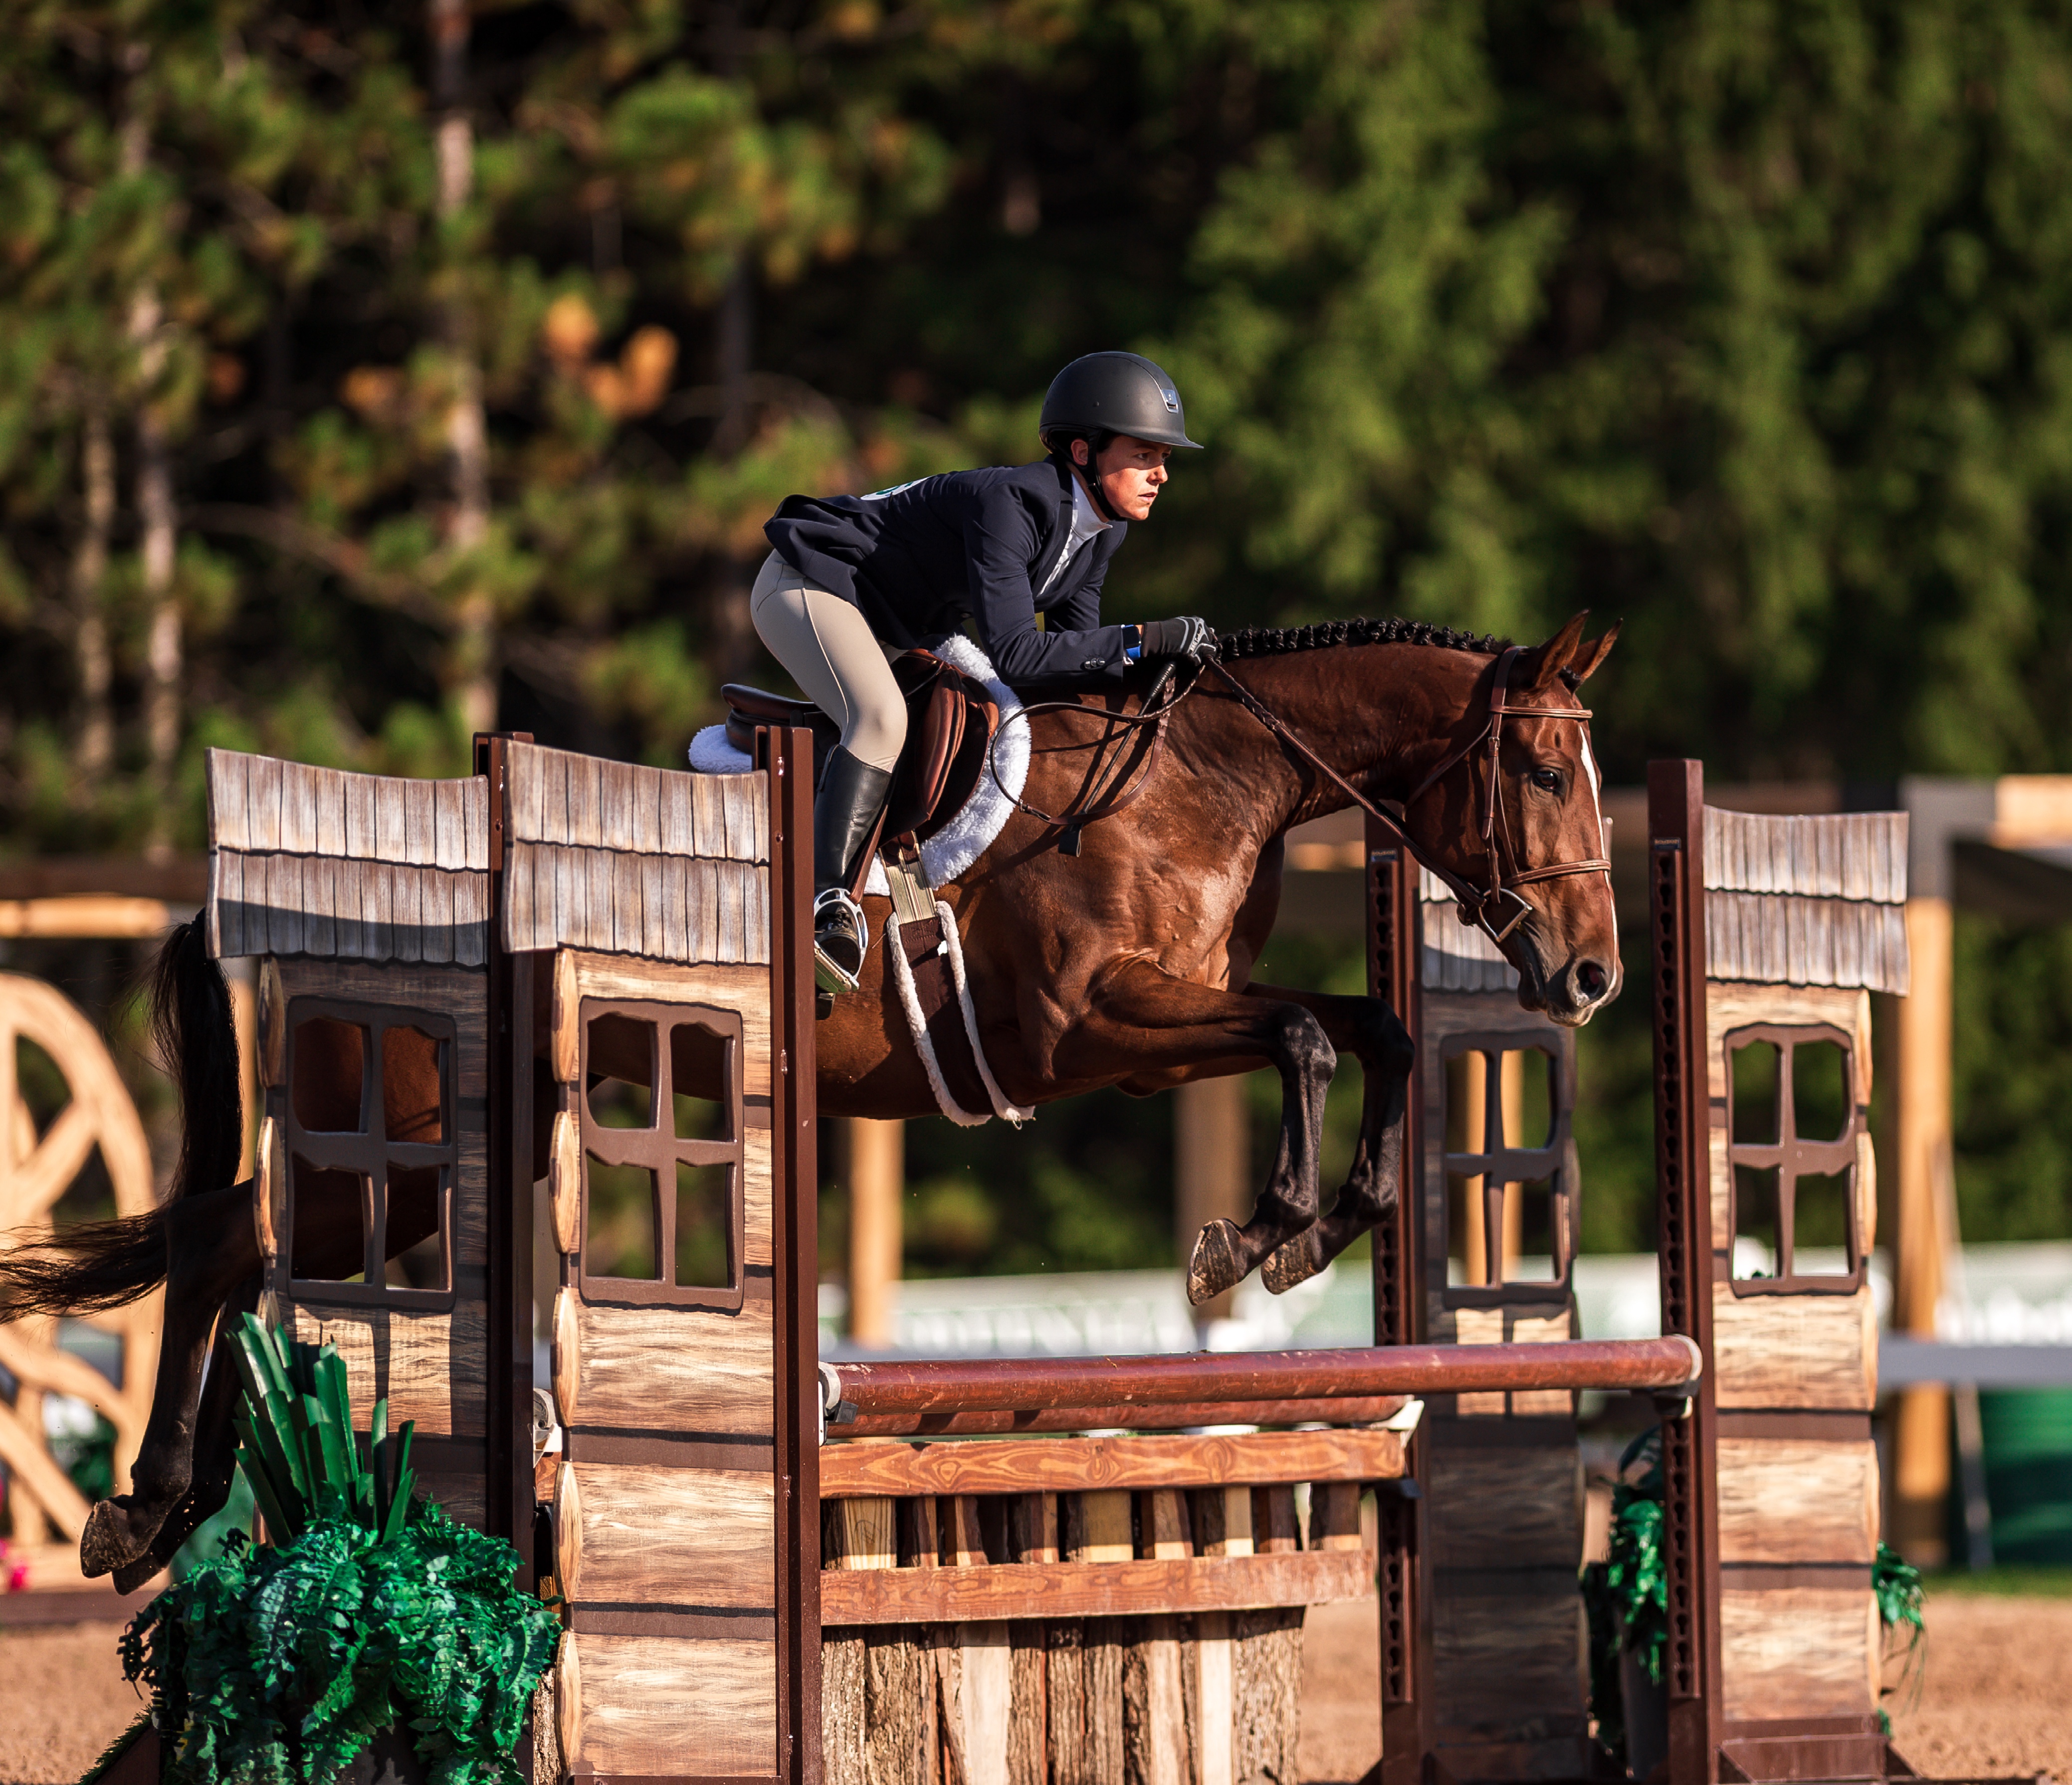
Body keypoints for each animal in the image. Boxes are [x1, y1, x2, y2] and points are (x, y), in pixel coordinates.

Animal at [0, 611, 1619, 1591]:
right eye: (1542, 770)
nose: (1591, 973)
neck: (1202, 780)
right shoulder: (1089, 1027)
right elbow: (1301, 1037)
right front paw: (1260, 1232)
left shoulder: (1150, 1040)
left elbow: (1365, 1032)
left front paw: (1317, 1228)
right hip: (392, 1156)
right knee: (228, 1238)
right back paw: (141, 1507)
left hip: (435, 1168)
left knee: (246, 1244)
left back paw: (170, 1507)